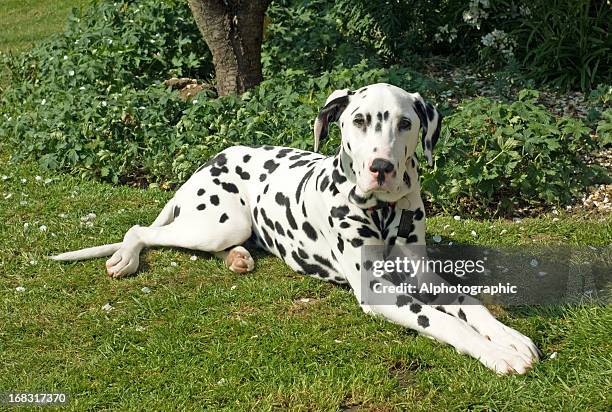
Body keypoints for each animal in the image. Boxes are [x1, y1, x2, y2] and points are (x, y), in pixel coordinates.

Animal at [52, 83, 540, 374]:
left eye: (406, 123)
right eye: (359, 120)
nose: (381, 168)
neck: (384, 213)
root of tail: (211, 159)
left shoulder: (421, 274)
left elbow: (469, 303)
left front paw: (510, 338)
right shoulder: (375, 291)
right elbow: (442, 321)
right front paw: (496, 352)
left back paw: (239, 258)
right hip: (219, 222)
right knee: (140, 229)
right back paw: (125, 258)